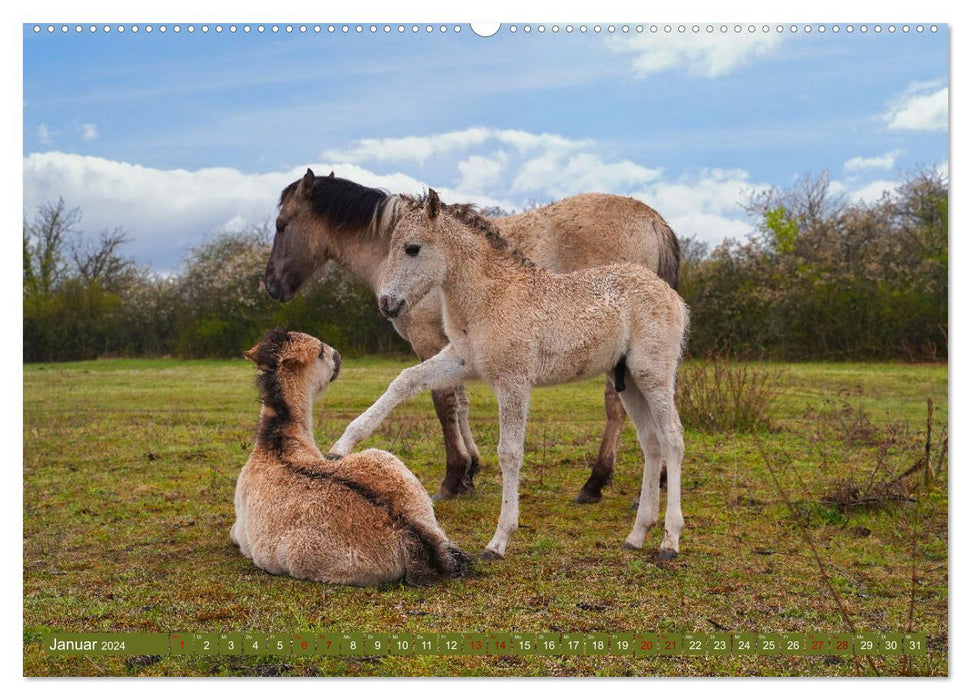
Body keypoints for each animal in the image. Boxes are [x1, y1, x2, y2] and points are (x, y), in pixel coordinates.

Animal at [262, 170, 680, 504]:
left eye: (281, 224)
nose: (270, 286)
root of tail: (653, 219)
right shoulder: (455, 347)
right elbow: (459, 402)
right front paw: (471, 470)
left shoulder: (427, 341)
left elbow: (443, 403)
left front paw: (453, 477)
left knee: (617, 407)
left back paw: (595, 484)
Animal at [330, 191, 688, 564]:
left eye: (412, 248)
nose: (388, 303)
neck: (493, 295)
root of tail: (670, 293)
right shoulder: (461, 359)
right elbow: (406, 380)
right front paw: (341, 447)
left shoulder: (513, 381)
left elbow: (510, 452)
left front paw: (499, 540)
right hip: (629, 380)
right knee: (651, 442)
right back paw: (637, 534)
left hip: (653, 374)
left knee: (672, 439)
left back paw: (669, 540)